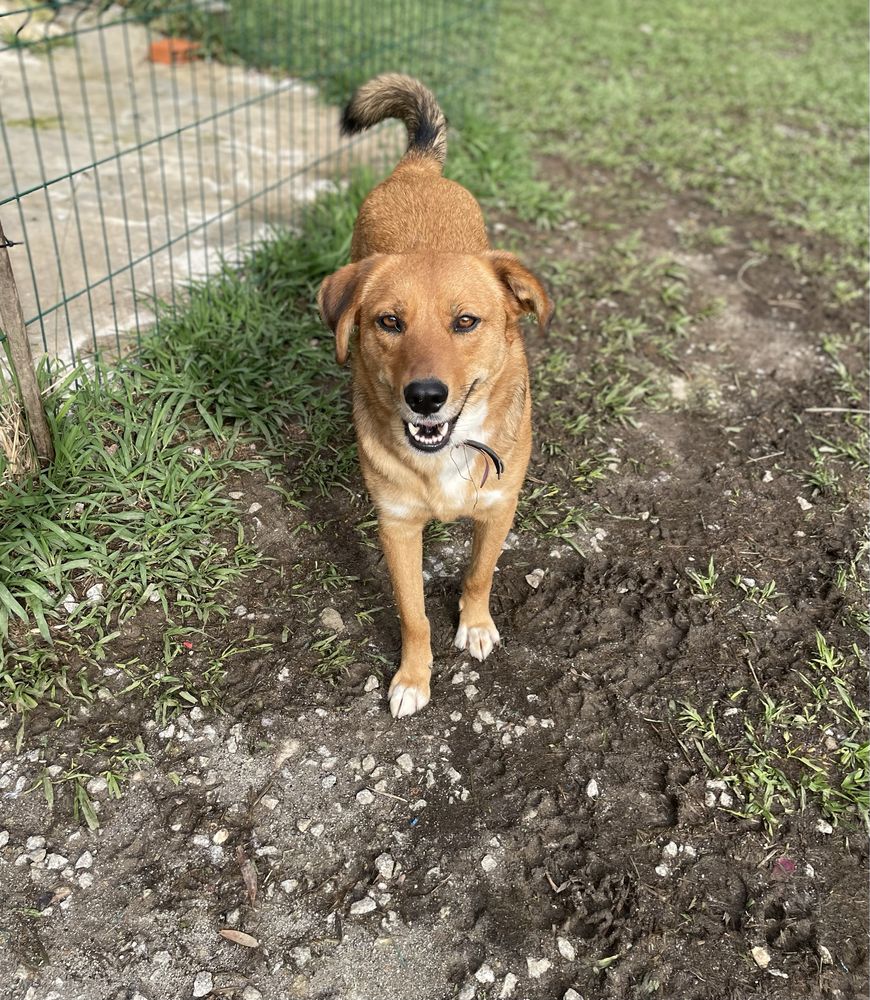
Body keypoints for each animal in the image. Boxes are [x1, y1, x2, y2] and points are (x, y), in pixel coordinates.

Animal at [318, 78, 552, 720]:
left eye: (466, 322)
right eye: (389, 322)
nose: (424, 397)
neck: (442, 456)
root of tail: (417, 167)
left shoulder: (498, 508)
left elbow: (477, 576)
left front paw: (475, 626)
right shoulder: (397, 526)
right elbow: (414, 614)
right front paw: (413, 678)